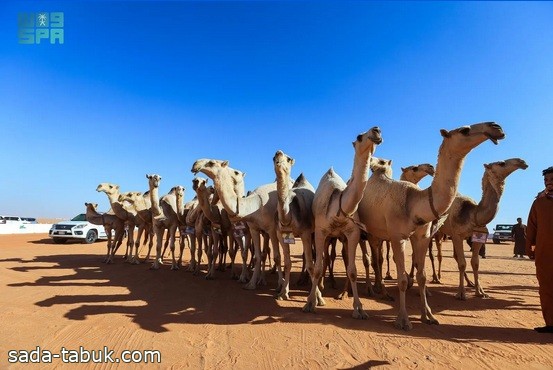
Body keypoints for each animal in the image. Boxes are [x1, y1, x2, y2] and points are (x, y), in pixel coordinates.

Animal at [191, 158, 284, 290]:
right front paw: (248, 282)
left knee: (269, 252)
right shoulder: (248, 229)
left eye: (212, 163)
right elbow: (249, 254)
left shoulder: (267, 229)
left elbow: (274, 256)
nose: (195, 164)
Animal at [272, 150, 314, 300]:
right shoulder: (281, 234)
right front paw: (283, 292)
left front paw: (318, 297)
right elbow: (288, 263)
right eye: (273, 158)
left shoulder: (306, 233)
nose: (278, 153)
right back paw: (302, 280)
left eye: (288, 159)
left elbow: (311, 264)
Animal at [304, 125, 382, 316]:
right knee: (323, 259)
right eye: (359, 136)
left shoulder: (352, 233)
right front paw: (310, 303)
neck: (339, 207)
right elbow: (317, 268)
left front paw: (359, 308)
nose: (376, 130)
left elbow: (352, 270)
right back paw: (322, 287)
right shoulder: (320, 232)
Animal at [358, 122, 504, 330]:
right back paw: (376, 289)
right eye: (464, 130)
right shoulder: (397, 237)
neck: (413, 203)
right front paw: (403, 320)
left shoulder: (422, 236)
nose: (496, 127)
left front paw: (428, 315)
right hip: (371, 233)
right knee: (372, 259)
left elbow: (422, 276)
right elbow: (402, 279)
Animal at [436, 158, 528, 300]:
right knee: (435, 254)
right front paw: (461, 294)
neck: (473, 215)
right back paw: (436, 278)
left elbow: (475, 262)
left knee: (453, 256)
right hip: (438, 232)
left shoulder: (476, 237)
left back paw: (469, 283)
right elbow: (462, 263)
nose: (522, 162)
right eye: (501, 163)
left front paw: (480, 292)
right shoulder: (457, 235)